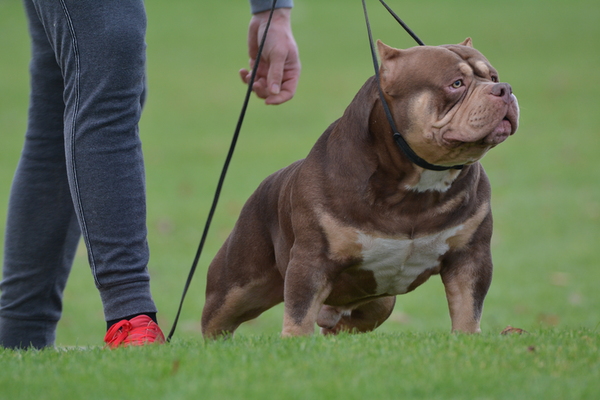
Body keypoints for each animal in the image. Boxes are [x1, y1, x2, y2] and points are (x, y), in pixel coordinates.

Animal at [203, 38, 520, 338]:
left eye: (493, 77)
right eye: (456, 84)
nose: (504, 88)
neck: (416, 185)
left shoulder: (470, 257)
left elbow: (468, 307)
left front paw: (467, 337)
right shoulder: (310, 262)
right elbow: (299, 312)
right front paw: (294, 342)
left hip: (378, 304)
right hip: (237, 287)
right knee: (217, 322)